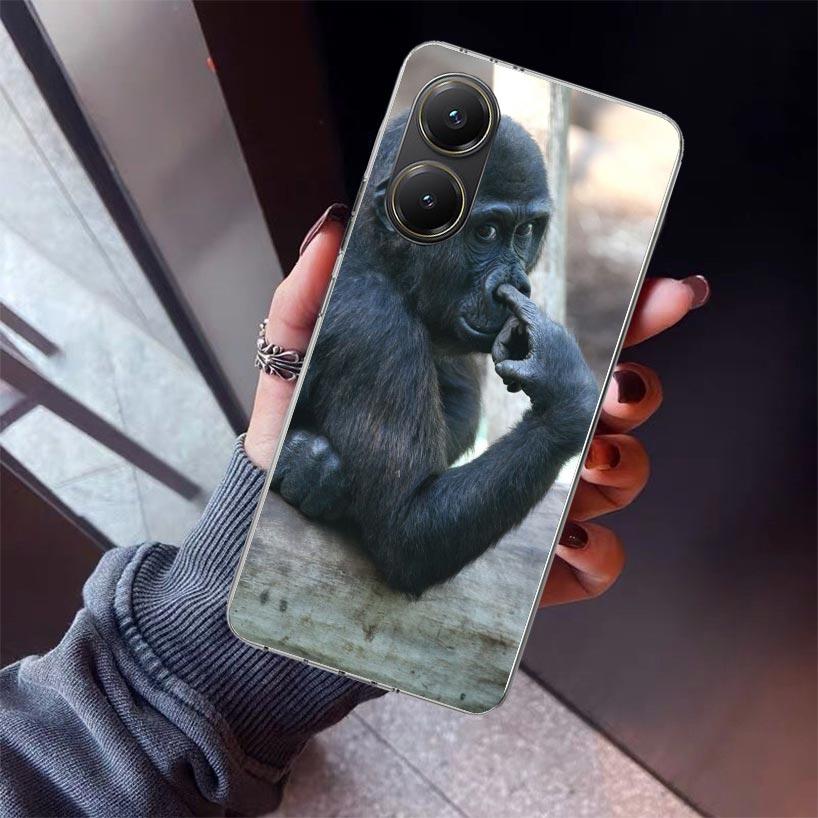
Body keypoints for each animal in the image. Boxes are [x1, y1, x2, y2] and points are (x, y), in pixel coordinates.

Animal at [271, 114, 598, 596]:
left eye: (524, 231)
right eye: (485, 231)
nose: (516, 286)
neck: (383, 256)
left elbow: (460, 406)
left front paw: (307, 463)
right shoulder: (374, 321)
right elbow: (407, 526)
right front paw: (567, 395)